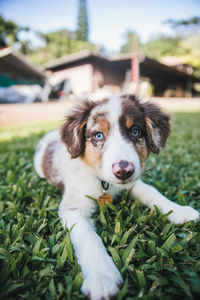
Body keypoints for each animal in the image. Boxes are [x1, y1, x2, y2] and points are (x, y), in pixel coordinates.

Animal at [33, 95, 199, 300]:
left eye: (135, 131)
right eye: (98, 135)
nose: (124, 171)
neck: (105, 184)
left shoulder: (133, 183)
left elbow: (151, 191)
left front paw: (179, 211)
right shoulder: (73, 207)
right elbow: (88, 237)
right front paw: (102, 277)